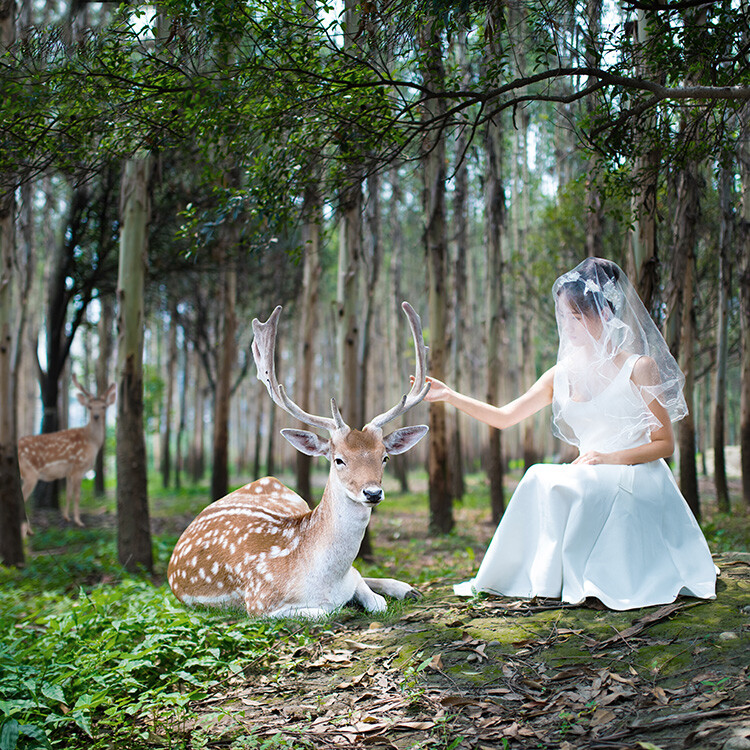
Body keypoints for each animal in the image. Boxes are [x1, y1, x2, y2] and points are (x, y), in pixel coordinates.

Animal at [19, 374, 117, 528]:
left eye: (104, 406)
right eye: (89, 407)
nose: (96, 416)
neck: (92, 442)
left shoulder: (69, 472)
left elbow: (69, 494)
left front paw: (66, 517)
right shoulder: (79, 467)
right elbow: (77, 495)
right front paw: (79, 521)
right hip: (30, 473)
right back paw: (29, 529)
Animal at [168, 302, 432, 620]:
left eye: (385, 457)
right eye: (338, 460)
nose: (372, 492)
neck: (324, 580)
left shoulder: (350, 578)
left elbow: (372, 597)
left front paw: (395, 590)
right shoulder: (259, 603)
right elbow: (327, 612)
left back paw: (409, 588)